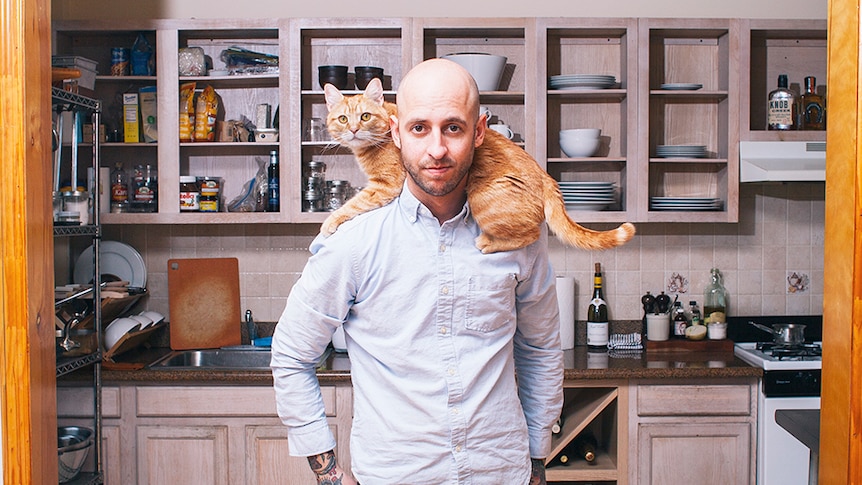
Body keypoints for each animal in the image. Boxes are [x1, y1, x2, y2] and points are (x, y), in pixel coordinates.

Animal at [320, 77, 636, 251]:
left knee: (533, 234)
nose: (353, 130)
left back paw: (488, 243)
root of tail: (548, 178)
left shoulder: (384, 184)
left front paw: (329, 223)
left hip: (483, 198)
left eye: (365, 116)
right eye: (343, 119)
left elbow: (353, 204)